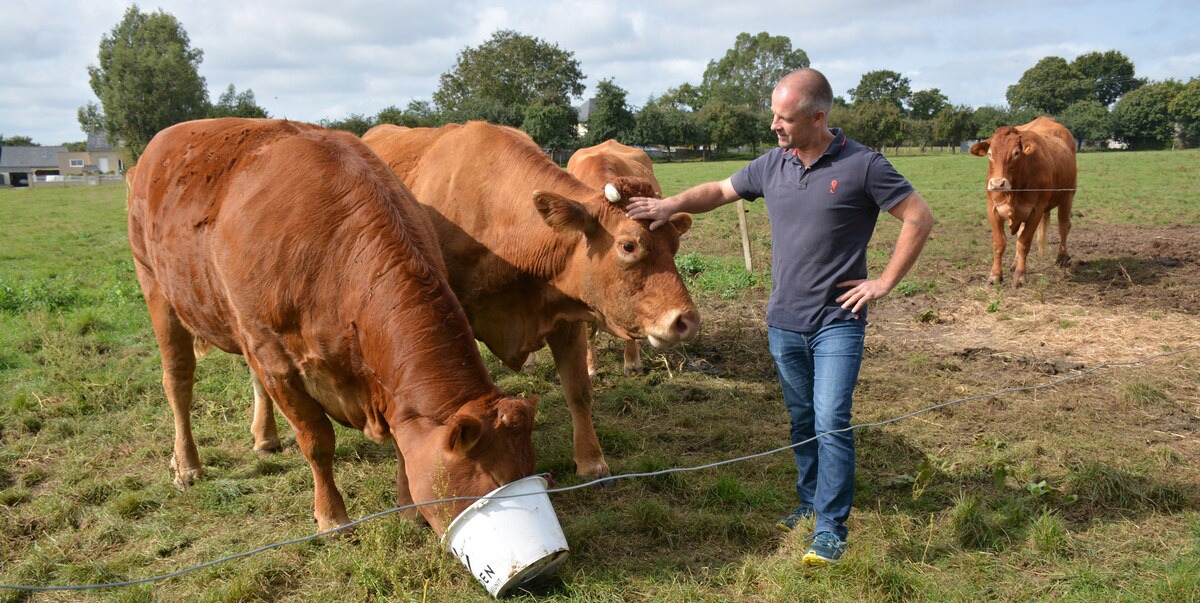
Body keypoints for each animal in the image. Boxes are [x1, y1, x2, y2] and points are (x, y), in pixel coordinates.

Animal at [126, 117, 535, 533]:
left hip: (239, 323)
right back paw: (187, 466)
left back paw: (265, 438)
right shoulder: (278, 360)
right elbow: (317, 440)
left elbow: (402, 444)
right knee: (178, 380)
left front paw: (408, 509)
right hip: (156, 287)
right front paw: (331, 516)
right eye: (493, 484)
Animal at [969, 118, 1075, 288]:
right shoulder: (993, 209)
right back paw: (1014, 263)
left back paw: (1062, 257)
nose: (997, 184)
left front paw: (1020, 276)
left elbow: (1024, 243)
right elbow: (1000, 243)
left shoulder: (1036, 211)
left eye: (1016, 153)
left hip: (1068, 195)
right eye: (990, 154)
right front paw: (995, 275)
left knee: (1064, 226)